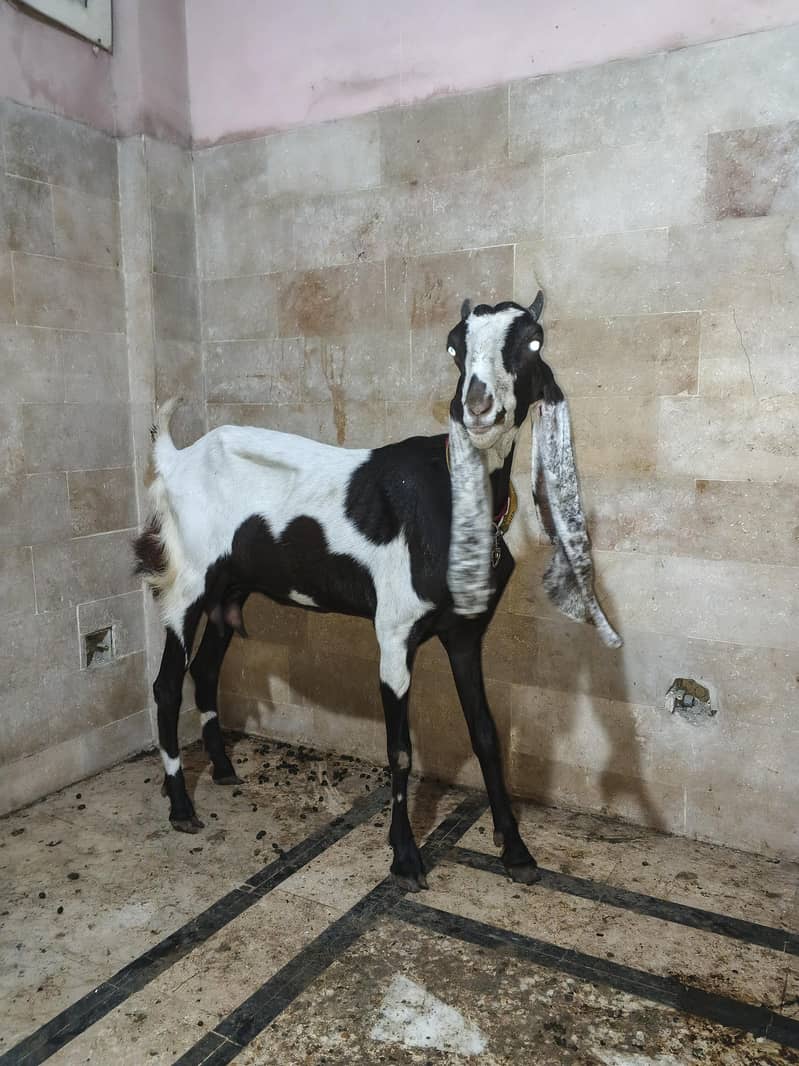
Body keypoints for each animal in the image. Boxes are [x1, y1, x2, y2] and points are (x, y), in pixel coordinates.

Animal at [134, 293, 608, 890]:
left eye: (533, 340)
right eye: (454, 345)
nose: (477, 406)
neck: (448, 499)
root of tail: (175, 460)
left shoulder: (465, 633)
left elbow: (485, 734)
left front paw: (516, 850)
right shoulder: (395, 631)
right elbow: (400, 750)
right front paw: (404, 857)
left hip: (230, 590)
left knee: (205, 668)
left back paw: (220, 770)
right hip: (189, 584)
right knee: (166, 684)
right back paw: (180, 806)